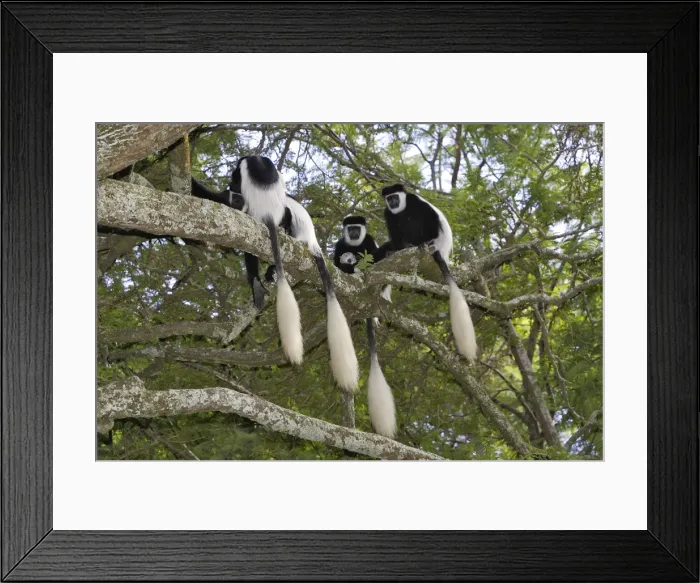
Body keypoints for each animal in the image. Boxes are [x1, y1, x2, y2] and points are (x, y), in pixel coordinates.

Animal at [332, 216, 397, 438]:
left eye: (356, 228)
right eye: (349, 229)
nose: (353, 233)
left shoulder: (368, 241)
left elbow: (374, 255)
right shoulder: (340, 245)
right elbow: (335, 261)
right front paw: (347, 261)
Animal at [376, 183, 477, 362]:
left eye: (395, 196)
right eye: (389, 198)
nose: (393, 202)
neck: (400, 207)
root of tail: (440, 251)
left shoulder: (413, 201)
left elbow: (427, 216)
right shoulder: (388, 212)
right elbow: (394, 230)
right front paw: (396, 248)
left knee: (421, 220)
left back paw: (422, 244)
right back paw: (397, 249)